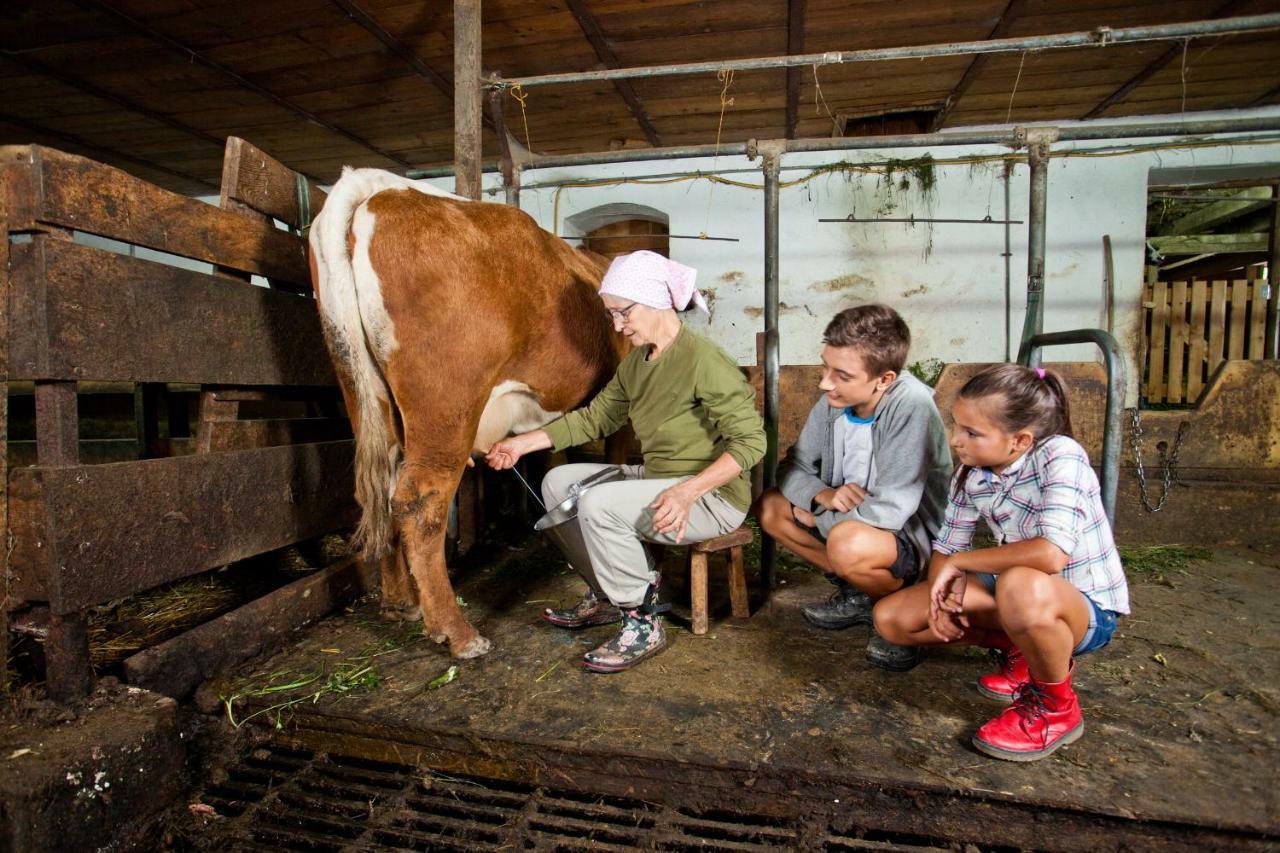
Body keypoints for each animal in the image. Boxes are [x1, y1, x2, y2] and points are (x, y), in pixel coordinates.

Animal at [314, 167, 624, 655]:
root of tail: (376, 186)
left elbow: (553, 455)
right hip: (446, 403)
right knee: (419, 502)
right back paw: (457, 632)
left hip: (363, 392)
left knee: (379, 490)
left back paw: (400, 602)